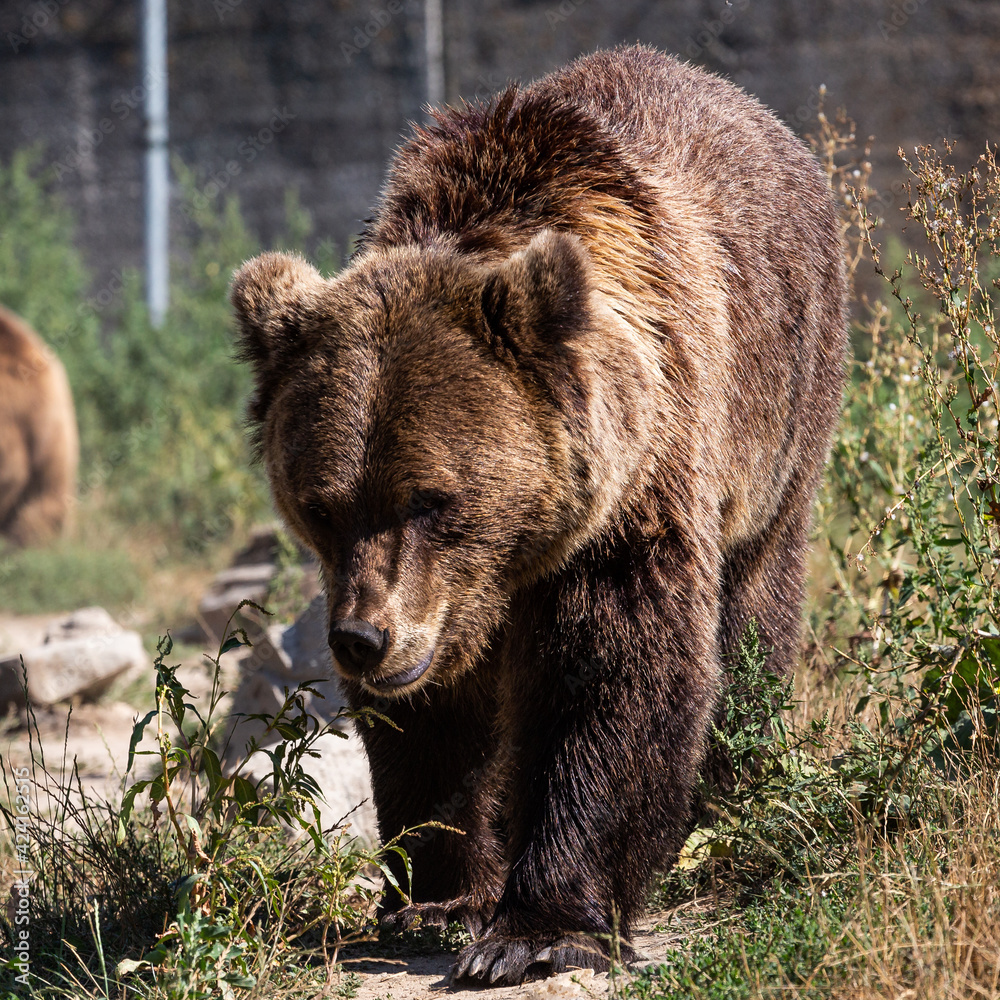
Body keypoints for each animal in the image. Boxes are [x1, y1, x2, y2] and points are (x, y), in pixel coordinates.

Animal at [232, 45, 844, 984]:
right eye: (322, 507)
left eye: (430, 500)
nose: (363, 639)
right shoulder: (435, 604)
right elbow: (436, 723)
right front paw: (439, 896)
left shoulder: (632, 493)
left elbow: (612, 675)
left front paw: (534, 930)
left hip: (782, 409)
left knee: (753, 608)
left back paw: (728, 792)